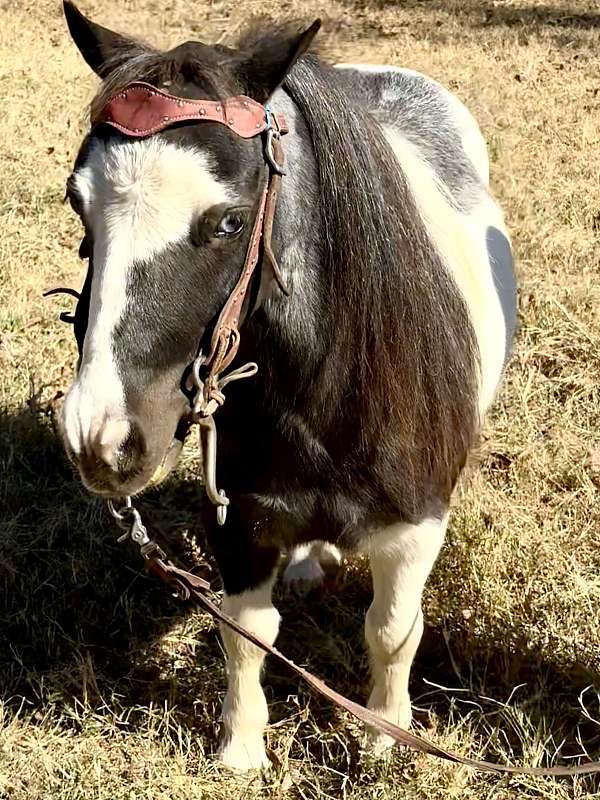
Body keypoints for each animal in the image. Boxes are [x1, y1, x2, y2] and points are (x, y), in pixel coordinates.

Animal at [59, 1, 516, 776]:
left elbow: (392, 630)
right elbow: (247, 633)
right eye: (78, 204)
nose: (103, 438)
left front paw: (383, 736)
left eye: (229, 221)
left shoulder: (416, 529)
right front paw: (241, 750)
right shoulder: (242, 520)